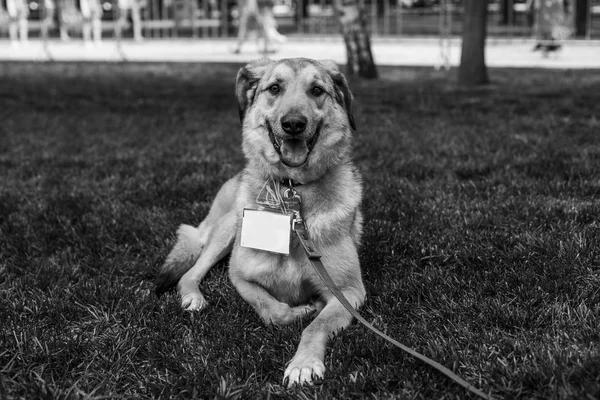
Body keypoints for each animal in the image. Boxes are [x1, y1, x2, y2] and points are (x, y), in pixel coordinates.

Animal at [156, 57, 366, 386]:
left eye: (317, 90)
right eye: (275, 88)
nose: (293, 124)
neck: (292, 193)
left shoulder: (350, 292)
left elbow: (318, 325)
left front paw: (304, 362)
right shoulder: (240, 276)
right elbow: (272, 310)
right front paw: (302, 310)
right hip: (228, 228)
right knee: (190, 273)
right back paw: (193, 297)